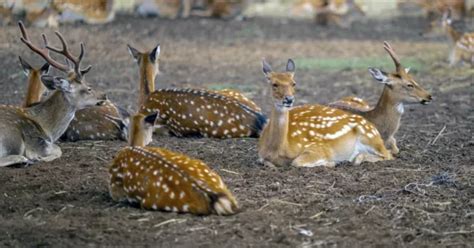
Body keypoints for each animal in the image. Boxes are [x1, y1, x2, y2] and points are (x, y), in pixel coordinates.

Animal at [0, 22, 106, 167]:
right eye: (88, 88)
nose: (104, 95)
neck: (48, 130)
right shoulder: (35, 140)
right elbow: (58, 149)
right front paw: (39, 158)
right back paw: (27, 160)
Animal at [258, 58, 390, 169]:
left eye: (293, 83)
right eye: (274, 84)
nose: (289, 99)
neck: (277, 149)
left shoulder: (319, 147)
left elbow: (296, 162)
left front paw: (331, 162)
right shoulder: (260, 155)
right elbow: (263, 161)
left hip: (369, 137)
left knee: (387, 154)